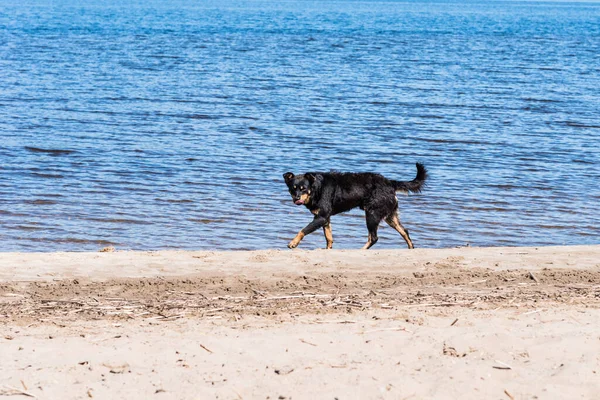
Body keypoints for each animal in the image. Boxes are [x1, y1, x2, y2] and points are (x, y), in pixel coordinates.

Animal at [282, 162, 426, 250]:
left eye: (304, 189)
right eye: (293, 189)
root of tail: (390, 183)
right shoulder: (325, 218)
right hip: (390, 216)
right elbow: (329, 237)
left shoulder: (321, 217)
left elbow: (303, 230)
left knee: (374, 237)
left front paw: (293, 243)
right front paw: (328, 249)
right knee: (405, 231)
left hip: (372, 214)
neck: (316, 188)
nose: (296, 198)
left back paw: (361, 250)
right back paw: (411, 248)